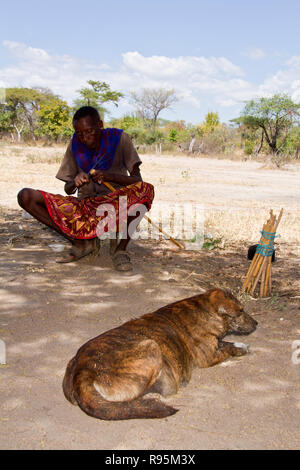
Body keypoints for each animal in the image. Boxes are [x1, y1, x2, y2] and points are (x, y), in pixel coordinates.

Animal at [62, 288, 256, 420]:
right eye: (241, 311)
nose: (257, 323)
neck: (204, 308)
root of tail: (82, 370)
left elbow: (227, 343)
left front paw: (240, 344)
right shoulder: (208, 357)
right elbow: (228, 349)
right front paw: (240, 348)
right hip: (151, 346)